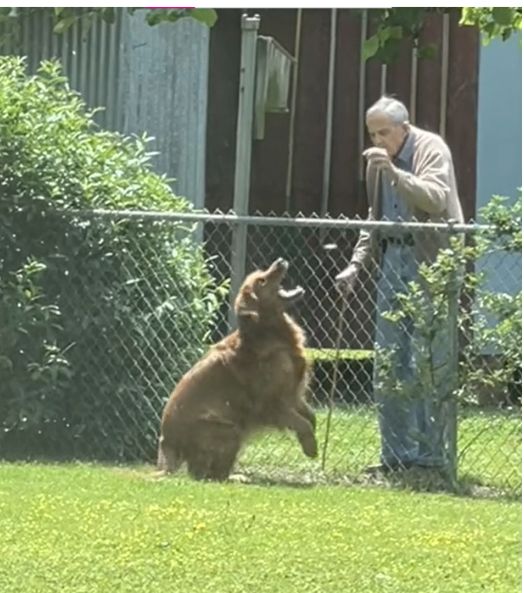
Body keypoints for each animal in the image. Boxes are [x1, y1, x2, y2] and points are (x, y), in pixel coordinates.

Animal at [158, 256, 318, 478]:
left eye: (261, 274)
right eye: (261, 281)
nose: (280, 261)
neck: (269, 334)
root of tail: (167, 443)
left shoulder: (293, 394)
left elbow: (310, 417)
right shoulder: (271, 405)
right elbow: (303, 424)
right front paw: (310, 446)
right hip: (230, 430)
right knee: (206, 476)